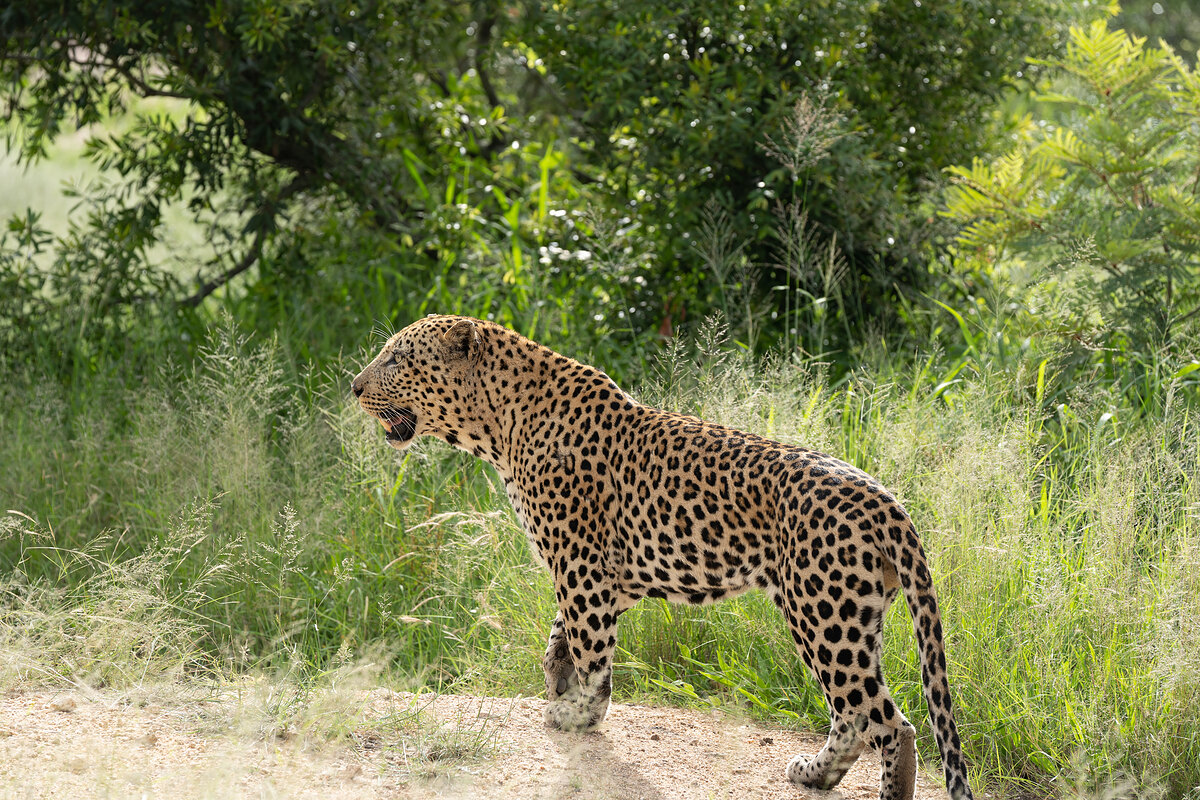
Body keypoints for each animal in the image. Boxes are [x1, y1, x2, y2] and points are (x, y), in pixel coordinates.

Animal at [351, 314, 974, 800]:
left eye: (398, 358)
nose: (355, 387)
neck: (499, 426)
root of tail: (888, 502)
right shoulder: (612, 575)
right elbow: (563, 636)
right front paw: (558, 679)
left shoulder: (581, 566)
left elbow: (592, 648)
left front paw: (579, 712)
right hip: (851, 618)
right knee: (859, 714)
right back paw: (813, 774)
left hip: (825, 616)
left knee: (889, 724)